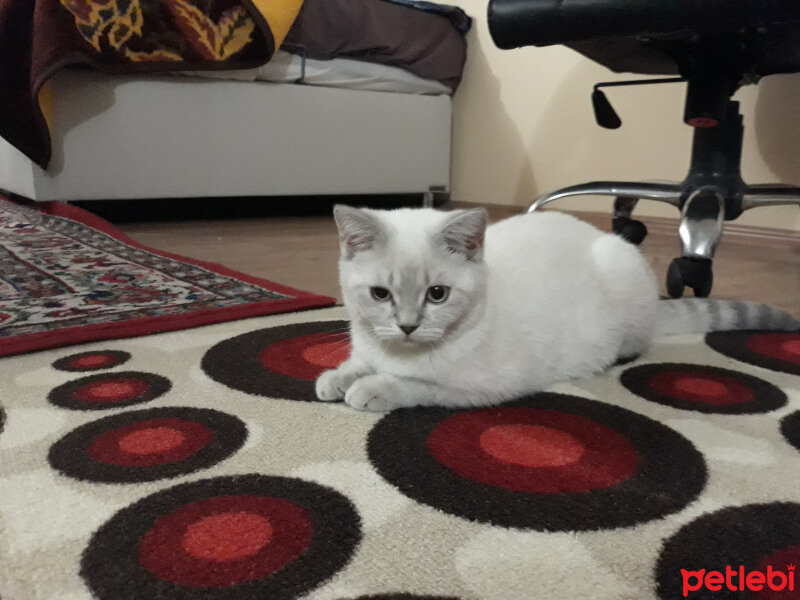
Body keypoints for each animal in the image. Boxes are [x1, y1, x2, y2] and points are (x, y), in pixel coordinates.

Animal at [316, 204, 796, 410]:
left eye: (437, 294)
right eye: (381, 295)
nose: (408, 326)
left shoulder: (485, 387)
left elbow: (415, 385)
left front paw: (374, 388)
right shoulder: (369, 343)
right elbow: (356, 362)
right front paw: (338, 378)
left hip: (619, 274)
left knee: (634, 344)